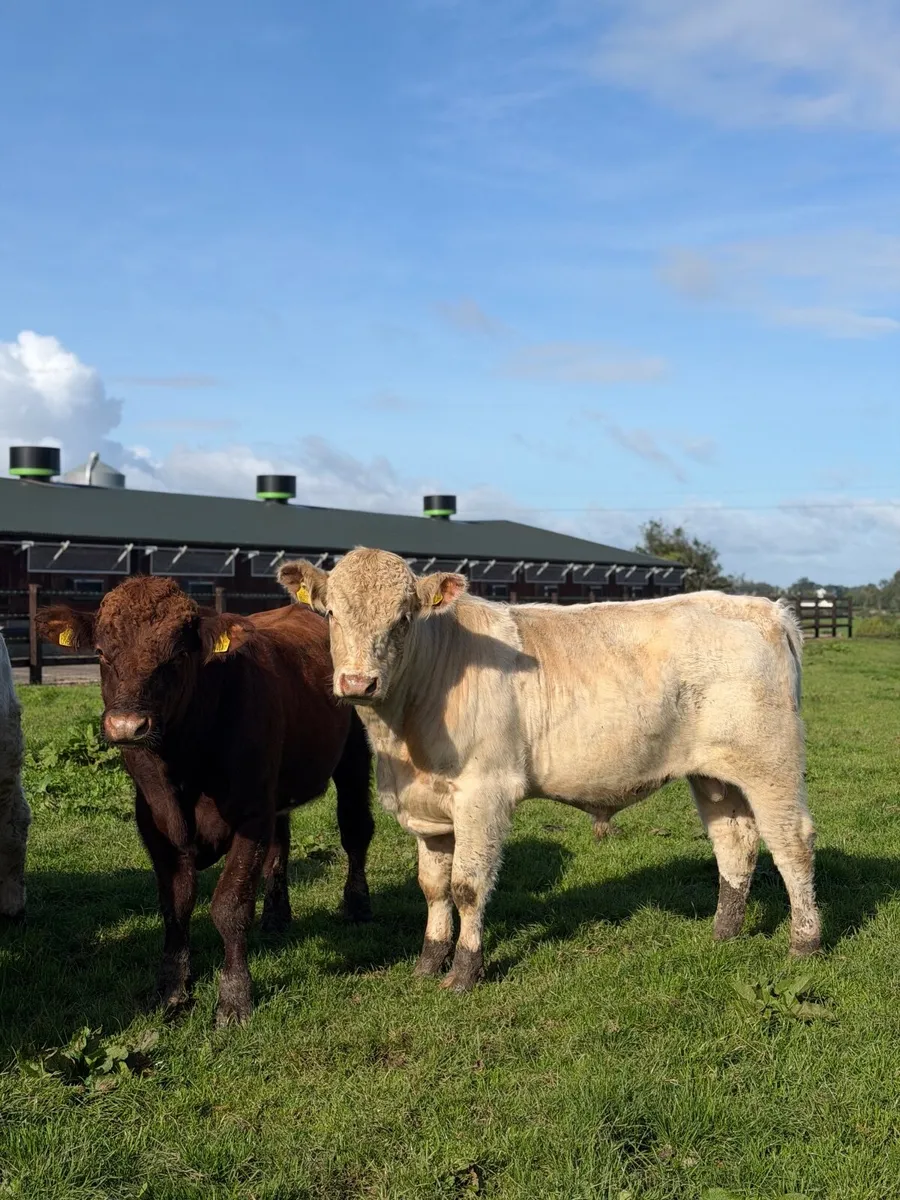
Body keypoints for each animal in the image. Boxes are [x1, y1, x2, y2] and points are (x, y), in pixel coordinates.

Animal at [38, 576, 374, 1025]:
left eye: (179, 655)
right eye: (101, 653)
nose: (127, 725)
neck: (185, 760)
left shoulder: (250, 814)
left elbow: (229, 906)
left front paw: (234, 998)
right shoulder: (155, 820)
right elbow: (175, 905)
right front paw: (171, 990)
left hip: (354, 753)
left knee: (355, 828)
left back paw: (357, 904)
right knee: (281, 846)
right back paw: (276, 915)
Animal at [278, 548, 819, 993]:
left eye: (404, 618)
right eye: (331, 614)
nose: (358, 682)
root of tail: (767, 609)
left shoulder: (484, 793)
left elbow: (467, 885)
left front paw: (464, 972)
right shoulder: (428, 809)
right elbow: (433, 886)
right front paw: (428, 963)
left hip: (771, 764)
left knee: (792, 843)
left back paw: (805, 943)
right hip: (715, 775)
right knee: (735, 842)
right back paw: (724, 933)